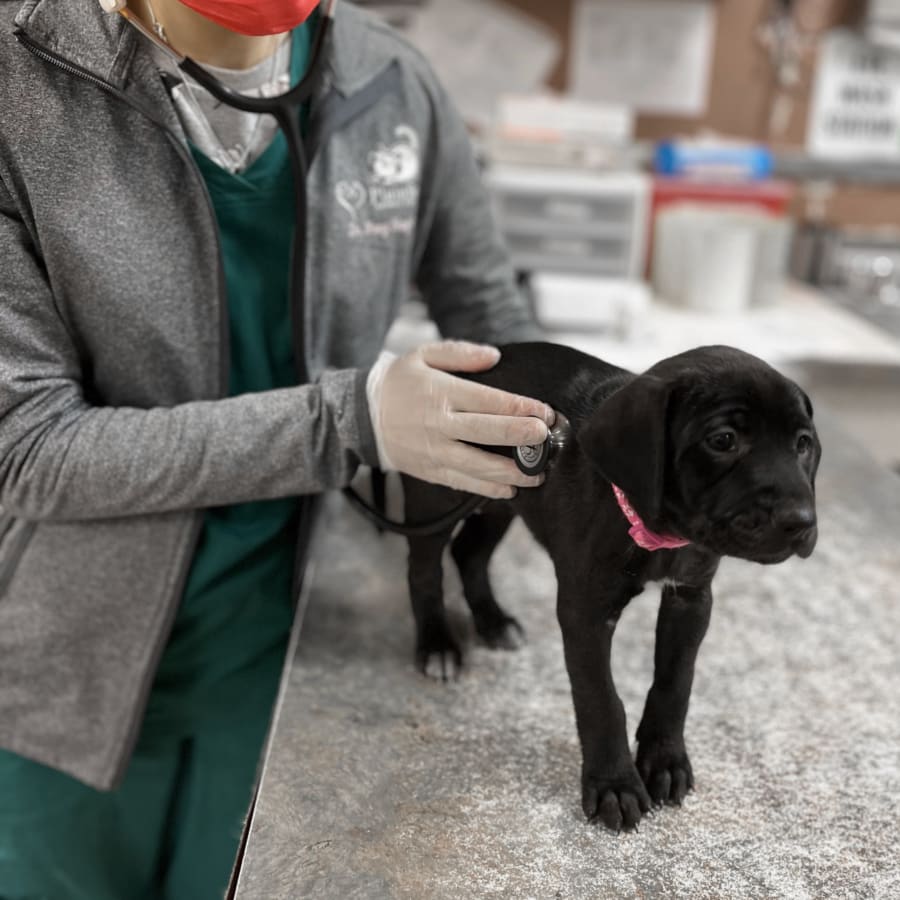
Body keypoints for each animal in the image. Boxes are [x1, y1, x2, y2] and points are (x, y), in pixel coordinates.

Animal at [398, 342, 820, 828]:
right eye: (723, 440)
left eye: (803, 445)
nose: (801, 522)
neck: (655, 528)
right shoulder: (585, 612)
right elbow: (601, 698)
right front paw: (615, 784)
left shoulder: (691, 597)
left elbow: (675, 682)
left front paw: (665, 760)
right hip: (437, 494)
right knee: (425, 571)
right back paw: (438, 645)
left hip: (502, 495)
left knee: (470, 553)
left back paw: (493, 621)